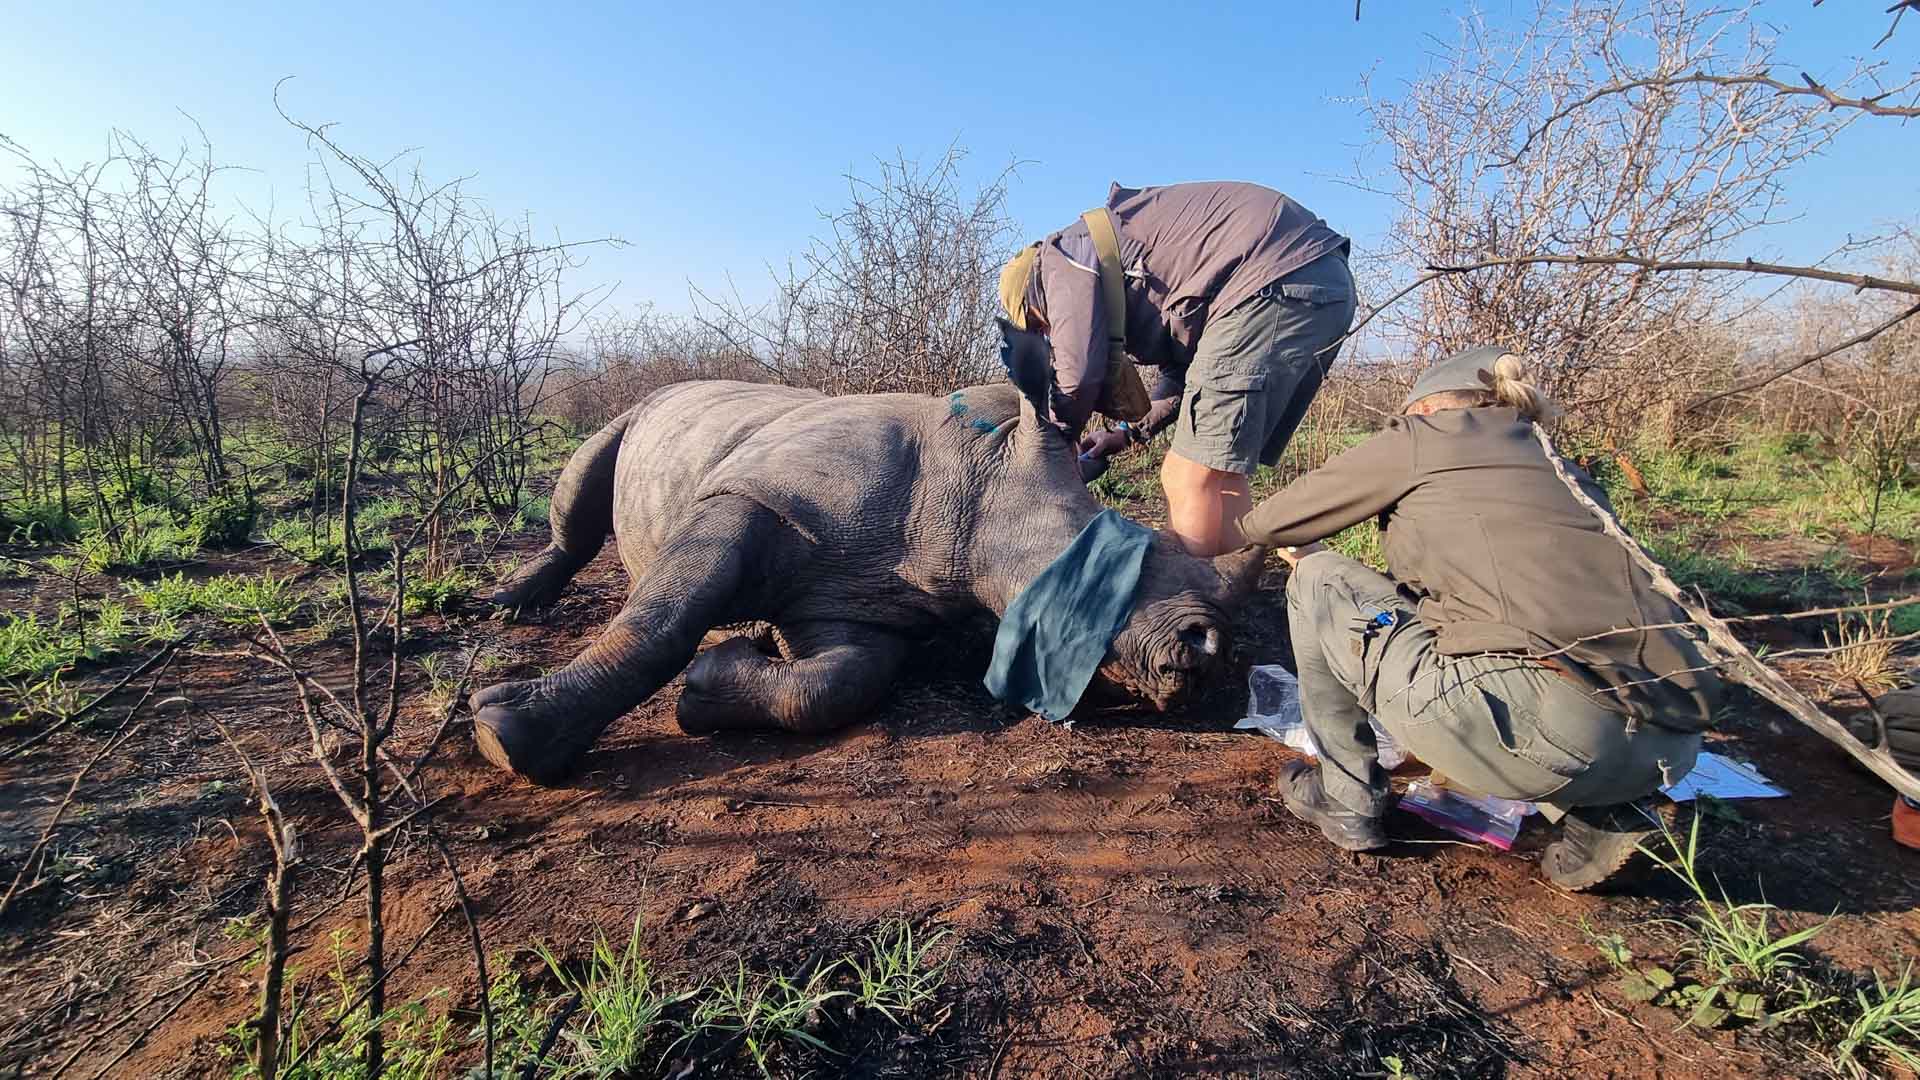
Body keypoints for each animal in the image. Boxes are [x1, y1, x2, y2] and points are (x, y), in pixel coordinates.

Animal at [471, 379, 1264, 784]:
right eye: (1106, 566)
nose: (1208, 654)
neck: (976, 478)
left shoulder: (861, 600)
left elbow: (835, 683)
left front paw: (713, 681)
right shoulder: (753, 494)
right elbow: (659, 621)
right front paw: (502, 736)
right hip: (643, 410)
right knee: (585, 482)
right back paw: (505, 607)